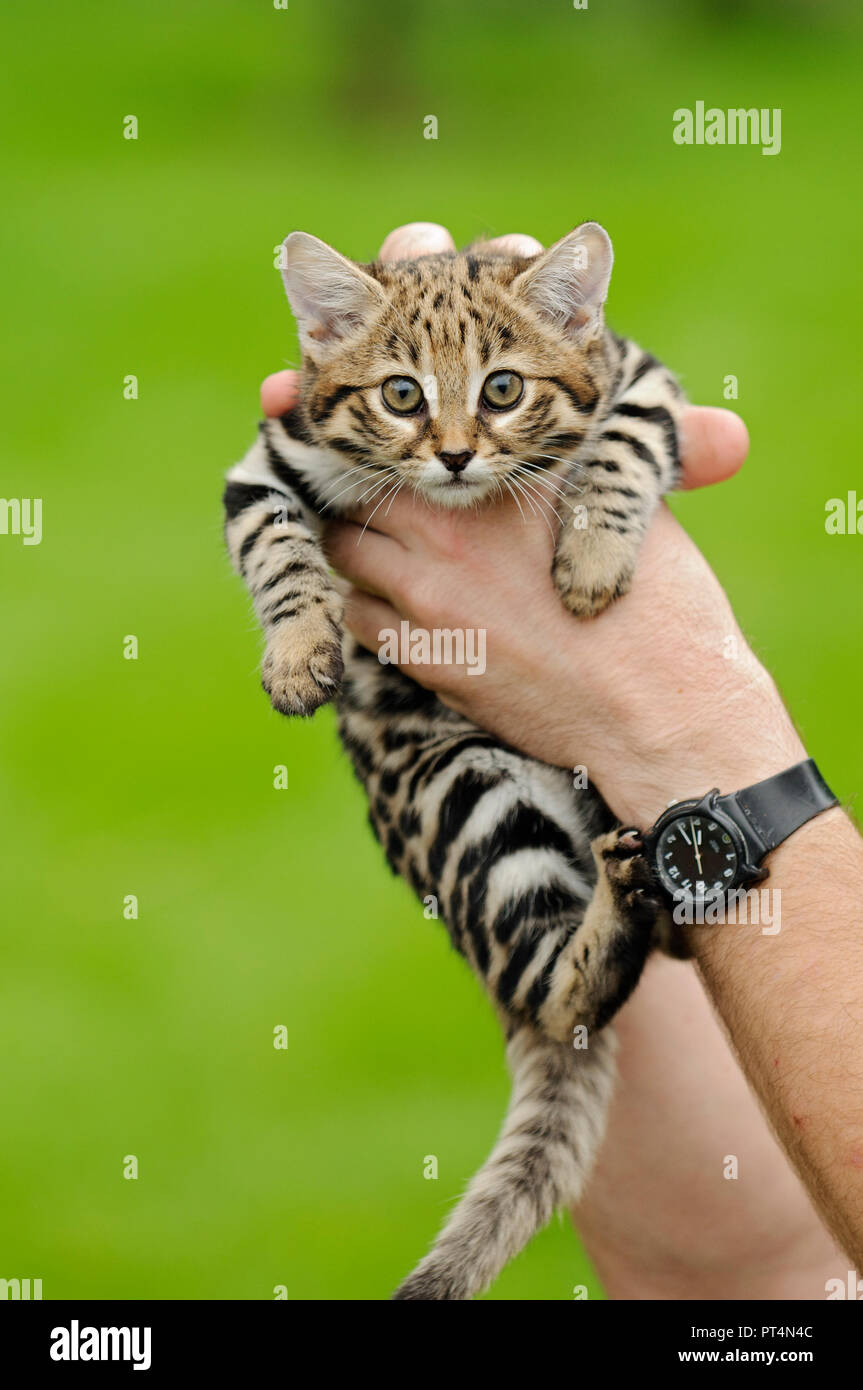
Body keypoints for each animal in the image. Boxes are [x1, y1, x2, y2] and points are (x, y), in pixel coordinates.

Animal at [222, 225, 686, 1301]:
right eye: (400, 394)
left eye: (503, 387)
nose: (455, 453)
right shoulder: (268, 454)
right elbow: (274, 542)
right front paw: (298, 651)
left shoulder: (639, 375)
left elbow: (622, 442)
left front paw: (591, 558)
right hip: (472, 797)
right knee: (554, 998)